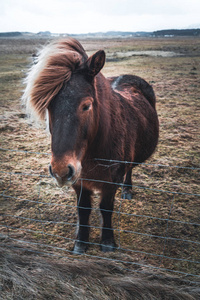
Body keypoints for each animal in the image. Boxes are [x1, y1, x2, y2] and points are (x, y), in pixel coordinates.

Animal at [22, 37, 159, 253]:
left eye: (86, 105)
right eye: (48, 105)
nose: (60, 170)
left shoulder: (111, 181)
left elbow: (106, 208)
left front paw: (108, 242)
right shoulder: (79, 181)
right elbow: (83, 209)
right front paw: (81, 242)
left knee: (130, 170)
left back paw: (127, 190)